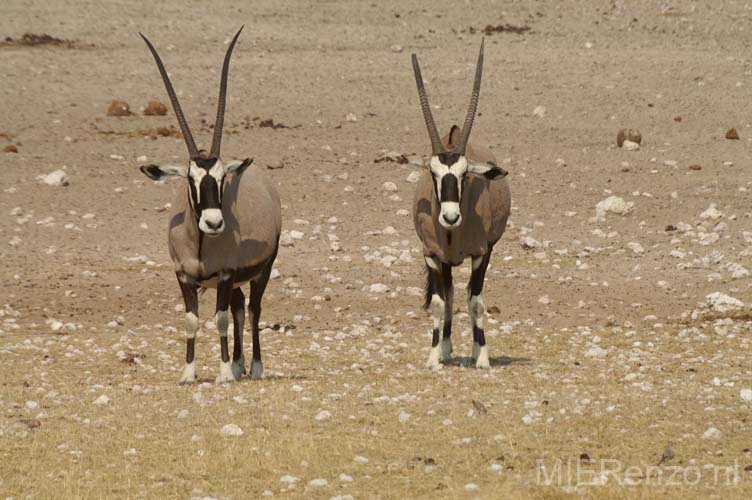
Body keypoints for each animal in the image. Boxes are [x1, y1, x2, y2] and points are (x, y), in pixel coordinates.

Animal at [137, 26, 280, 382]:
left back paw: (254, 367)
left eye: (222, 177)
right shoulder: (183, 275)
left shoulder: (226, 274)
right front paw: (189, 373)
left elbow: (220, 319)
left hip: (262, 270)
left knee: (253, 310)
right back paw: (240, 364)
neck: (201, 244)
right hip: (236, 281)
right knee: (240, 308)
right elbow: (192, 320)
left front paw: (224, 372)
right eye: (191, 178)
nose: (214, 223)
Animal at [412, 41, 512, 370]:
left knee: (465, 294)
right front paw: (434, 357)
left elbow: (476, 302)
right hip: (445, 261)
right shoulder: (432, 255)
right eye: (433, 174)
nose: (451, 217)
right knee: (451, 294)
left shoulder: (481, 254)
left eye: (465, 175)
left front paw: (482, 356)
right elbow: (440, 303)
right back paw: (445, 348)